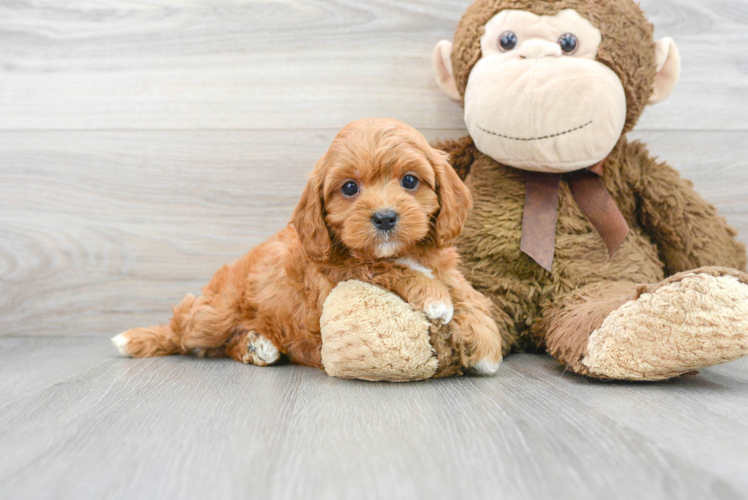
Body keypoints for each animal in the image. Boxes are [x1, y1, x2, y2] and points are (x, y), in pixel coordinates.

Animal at [114, 118, 502, 376]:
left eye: (409, 180)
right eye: (349, 188)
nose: (385, 218)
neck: (401, 250)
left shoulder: (441, 263)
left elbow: (464, 289)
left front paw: (485, 341)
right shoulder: (339, 271)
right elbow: (385, 268)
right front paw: (434, 296)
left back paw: (256, 345)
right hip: (214, 314)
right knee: (184, 329)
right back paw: (140, 338)